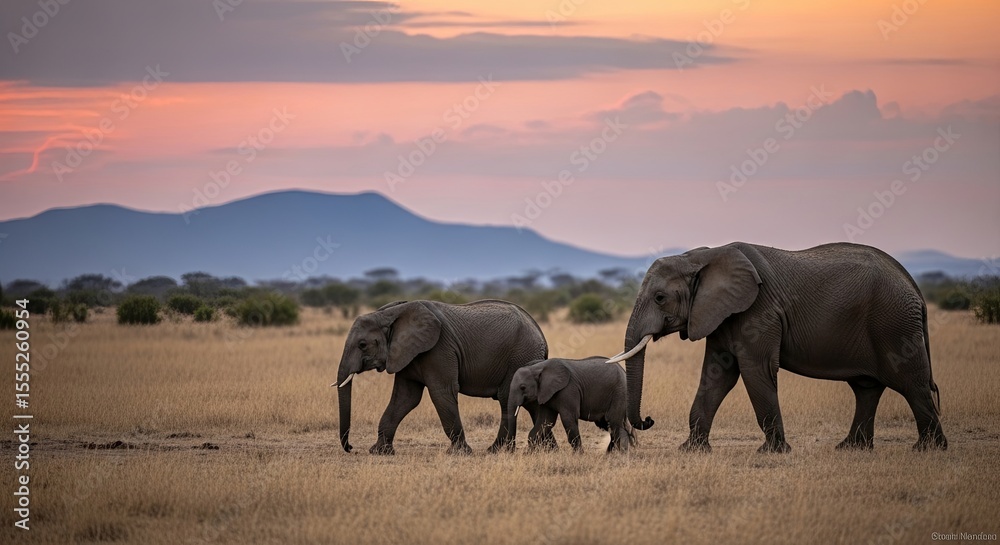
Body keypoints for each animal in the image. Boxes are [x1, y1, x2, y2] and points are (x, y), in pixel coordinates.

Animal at [335, 299, 556, 455]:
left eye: (362, 345)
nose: (351, 448)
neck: (388, 313)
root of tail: (541, 335)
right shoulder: (406, 354)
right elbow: (405, 398)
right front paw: (380, 452)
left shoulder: (439, 349)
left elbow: (441, 392)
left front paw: (459, 453)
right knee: (527, 402)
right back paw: (546, 450)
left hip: (520, 356)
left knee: (507, 398)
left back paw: (498, 450)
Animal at [609, 242, 947, 453]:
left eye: (660, 298)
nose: (648, 420)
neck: (700, 256)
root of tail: (914, 286)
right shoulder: (719, 313)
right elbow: (717, 375)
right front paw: (691, 450)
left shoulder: (759, 311)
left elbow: (755, 371)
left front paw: (772, 452)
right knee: (867, 388)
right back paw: (851, 448)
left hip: (894, 324)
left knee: (911, 383)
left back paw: (928, 449)